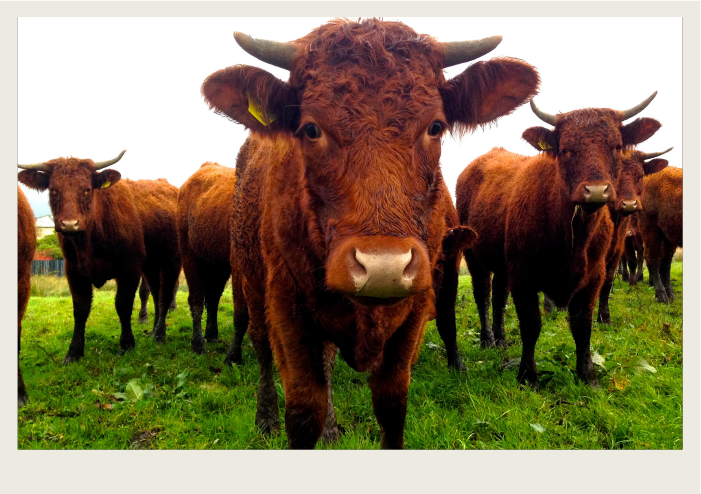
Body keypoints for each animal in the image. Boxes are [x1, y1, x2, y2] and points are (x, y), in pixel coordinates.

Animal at [17, 152, 182, 360]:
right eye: (54, 189)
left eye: (87, 189)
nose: (70, 224)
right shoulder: (74, 270)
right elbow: (80, 308)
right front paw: (74, 351)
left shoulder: (130, 268)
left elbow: (123, 304)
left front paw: (127, 344)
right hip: (151, 265)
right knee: (156, 292)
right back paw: (154, 331)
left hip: (171, 261)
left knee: (165, 294)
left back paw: (160, 335)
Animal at [201, 19, 536, 448]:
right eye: (310, 128)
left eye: (436, 126)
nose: (383, 268)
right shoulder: (286, 306)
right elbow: (303, 412)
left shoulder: (414, 309)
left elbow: (392, 406)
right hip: (250, 281)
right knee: (260, 346)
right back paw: (266, 417)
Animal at [456, 93, 660, 386]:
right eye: (565, 149)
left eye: (617, 146)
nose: (595, 191)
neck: (572, 236)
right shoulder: (523, 275)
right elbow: (531, 324)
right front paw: (527, 375)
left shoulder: (595, 274)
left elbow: (582, 325)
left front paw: (588, 375)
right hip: (473, 255)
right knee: (482, 294)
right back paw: (487, 340)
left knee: (498, 295)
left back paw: (501, 340)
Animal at [636, 165, 680, 302]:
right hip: (651, 229)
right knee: (652, 258)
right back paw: (661, 296)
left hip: (668, 234)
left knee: (665, 262)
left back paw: (670, 295)